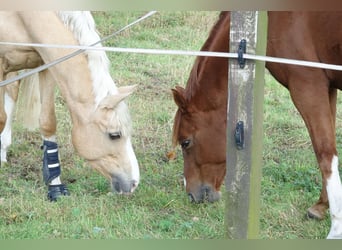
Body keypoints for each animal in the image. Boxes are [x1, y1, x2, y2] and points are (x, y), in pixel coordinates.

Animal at [0, 10, 140, 200]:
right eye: (114, 135)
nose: (134, 183)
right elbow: (1, 118)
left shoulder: (46, 63)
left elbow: (48, 122)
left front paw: (55, 186)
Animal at [172, 11, 342, 238]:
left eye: (186, 142)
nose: (191, 194)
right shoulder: (327, 86)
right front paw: (321, 206)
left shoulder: (308, 87)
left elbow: (325, 154)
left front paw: (336, 229)